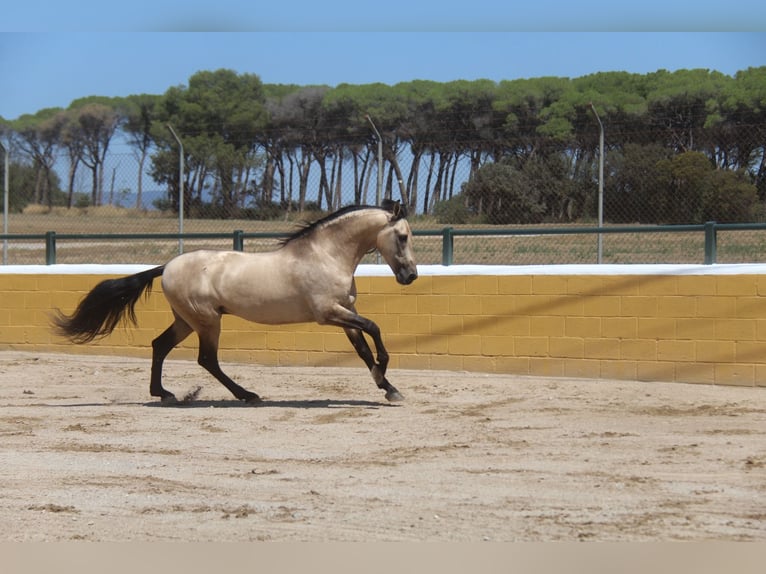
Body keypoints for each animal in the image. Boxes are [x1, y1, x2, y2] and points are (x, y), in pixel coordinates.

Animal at [52, 201, 420, 404]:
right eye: (402, 237)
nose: (411, 276)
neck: (325, 255)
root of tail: (167, 266)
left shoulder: (346, 313)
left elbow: (363, 348)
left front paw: (388, 387)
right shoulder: (329, 313)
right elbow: (375, 330)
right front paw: (384, 374)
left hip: (187, 321)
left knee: (160, 346)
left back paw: (165, 394)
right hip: (207, 322)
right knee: (206, 359)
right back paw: (247, 395)